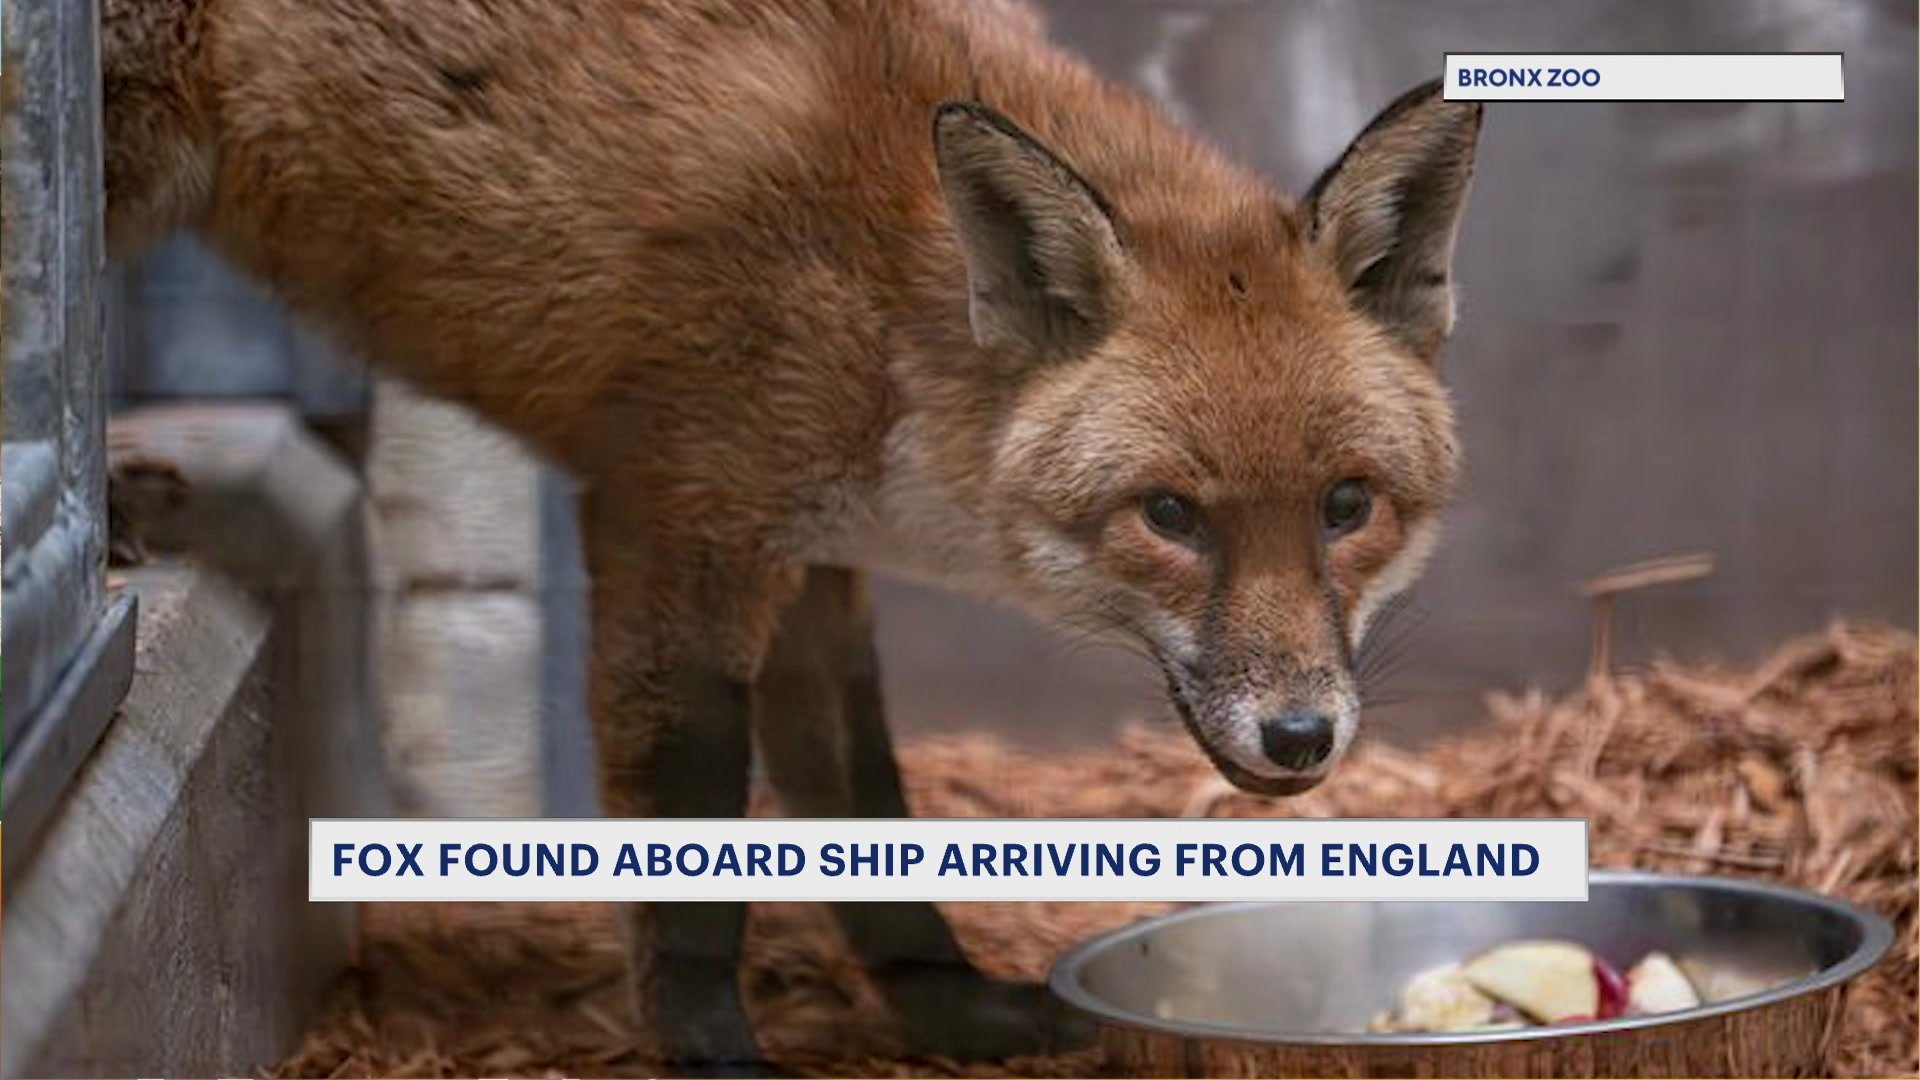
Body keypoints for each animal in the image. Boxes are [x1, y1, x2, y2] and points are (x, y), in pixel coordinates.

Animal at [101, 0, 1482, 1072]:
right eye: (1171, 516)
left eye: (1346, 505)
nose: (1301, 738)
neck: (883, 296)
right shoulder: (677, 524)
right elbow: (695, 849)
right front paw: (712, 1049)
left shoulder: (818, 560)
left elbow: (865, 812)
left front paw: (951, 1011)